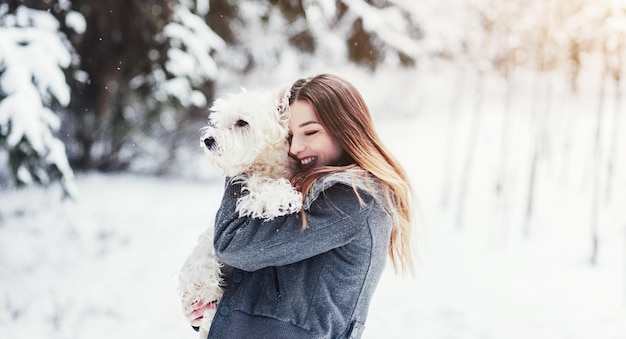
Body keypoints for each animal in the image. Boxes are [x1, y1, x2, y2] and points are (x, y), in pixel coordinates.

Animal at [177, 87, 302, 338]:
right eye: (218, 120)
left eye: (242, 122)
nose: (208, 140)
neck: (267, 164)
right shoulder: (246, 190)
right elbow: (260, 192)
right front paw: (287, 199)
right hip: (204, 269)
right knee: (208, 302)